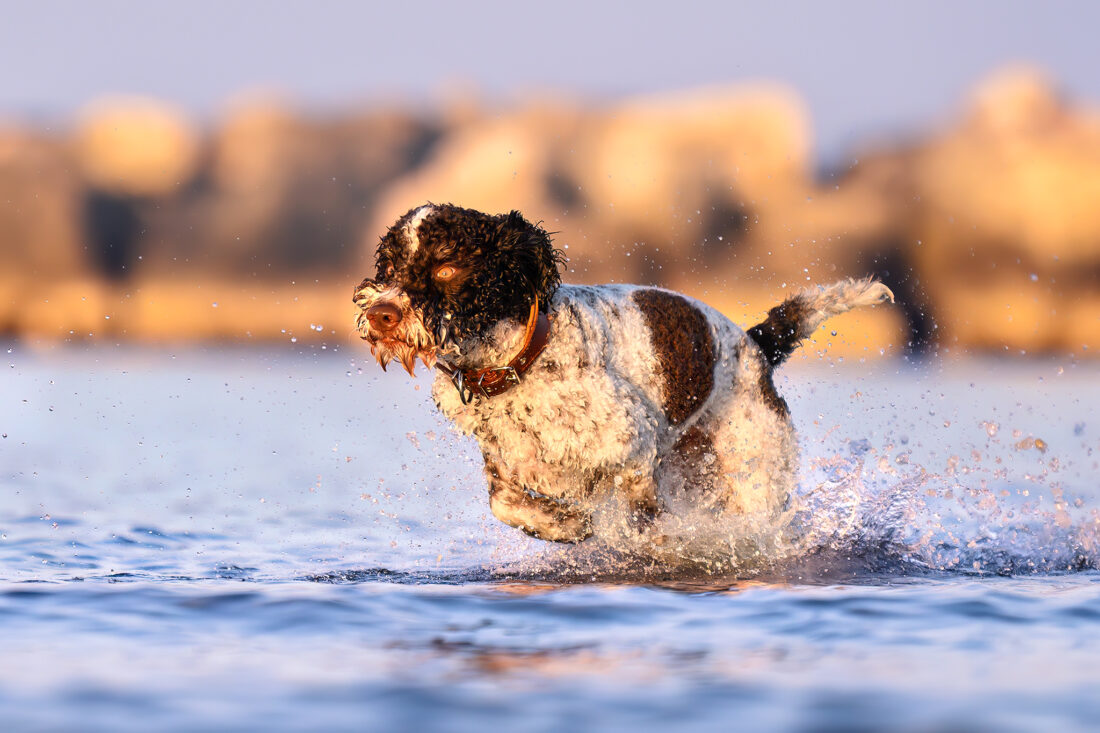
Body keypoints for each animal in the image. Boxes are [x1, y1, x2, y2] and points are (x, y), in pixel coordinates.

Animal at [352, 202, 893, 539]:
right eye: (389, 267)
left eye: (446, 267)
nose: (381, 314)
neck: (521, 366)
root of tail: (755, 345)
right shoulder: (506, 463)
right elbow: (505, 504)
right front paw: (567, 527)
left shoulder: (636, 443)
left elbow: (642, 516)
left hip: (754, 475)